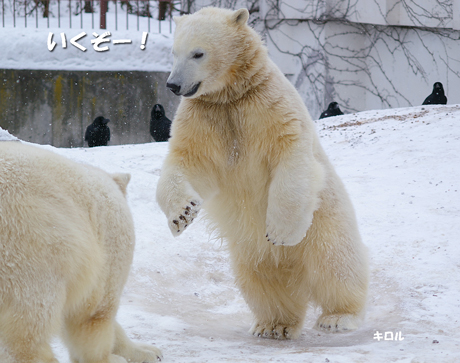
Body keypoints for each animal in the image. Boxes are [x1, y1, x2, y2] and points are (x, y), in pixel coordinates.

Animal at [0, 141, 162, 363]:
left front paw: (147, 351)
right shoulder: (110, 245)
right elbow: (95, 313)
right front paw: (109, 358)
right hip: (31, 239)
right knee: (32, 312)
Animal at [158, 6, 370, 342]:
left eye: (198, 53)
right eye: (174, 52)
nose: (173, 85)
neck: (232, 94)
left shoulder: (268, 106)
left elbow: (290, 157)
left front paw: (280, 232)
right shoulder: (204, 119)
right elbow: (187, 162)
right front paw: (182, 214)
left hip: (326, 222)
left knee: (335, 264)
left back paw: (338, 317)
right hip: (248, 250)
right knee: (262, 280)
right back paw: (274, 323)